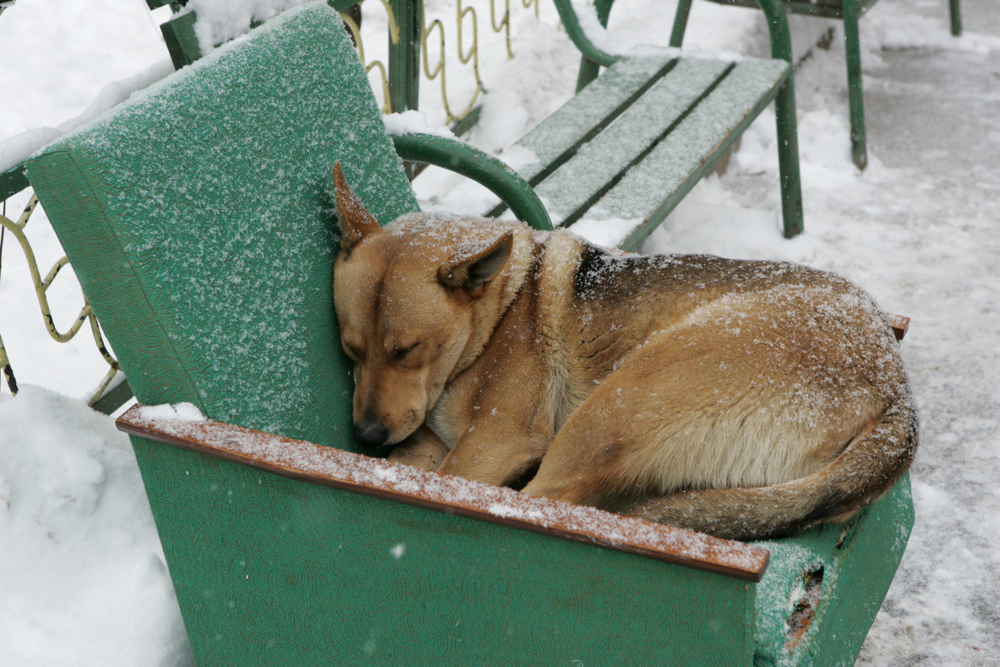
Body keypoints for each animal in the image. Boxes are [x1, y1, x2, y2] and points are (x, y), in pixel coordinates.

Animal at [332, 163, 916, 544]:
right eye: (351, 350)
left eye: (408, 351)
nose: (366, 435)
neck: (501, 309)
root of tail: (898, 392)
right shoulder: (432, 444)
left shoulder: (493, 443)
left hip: (619, 404)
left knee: (547, 498)